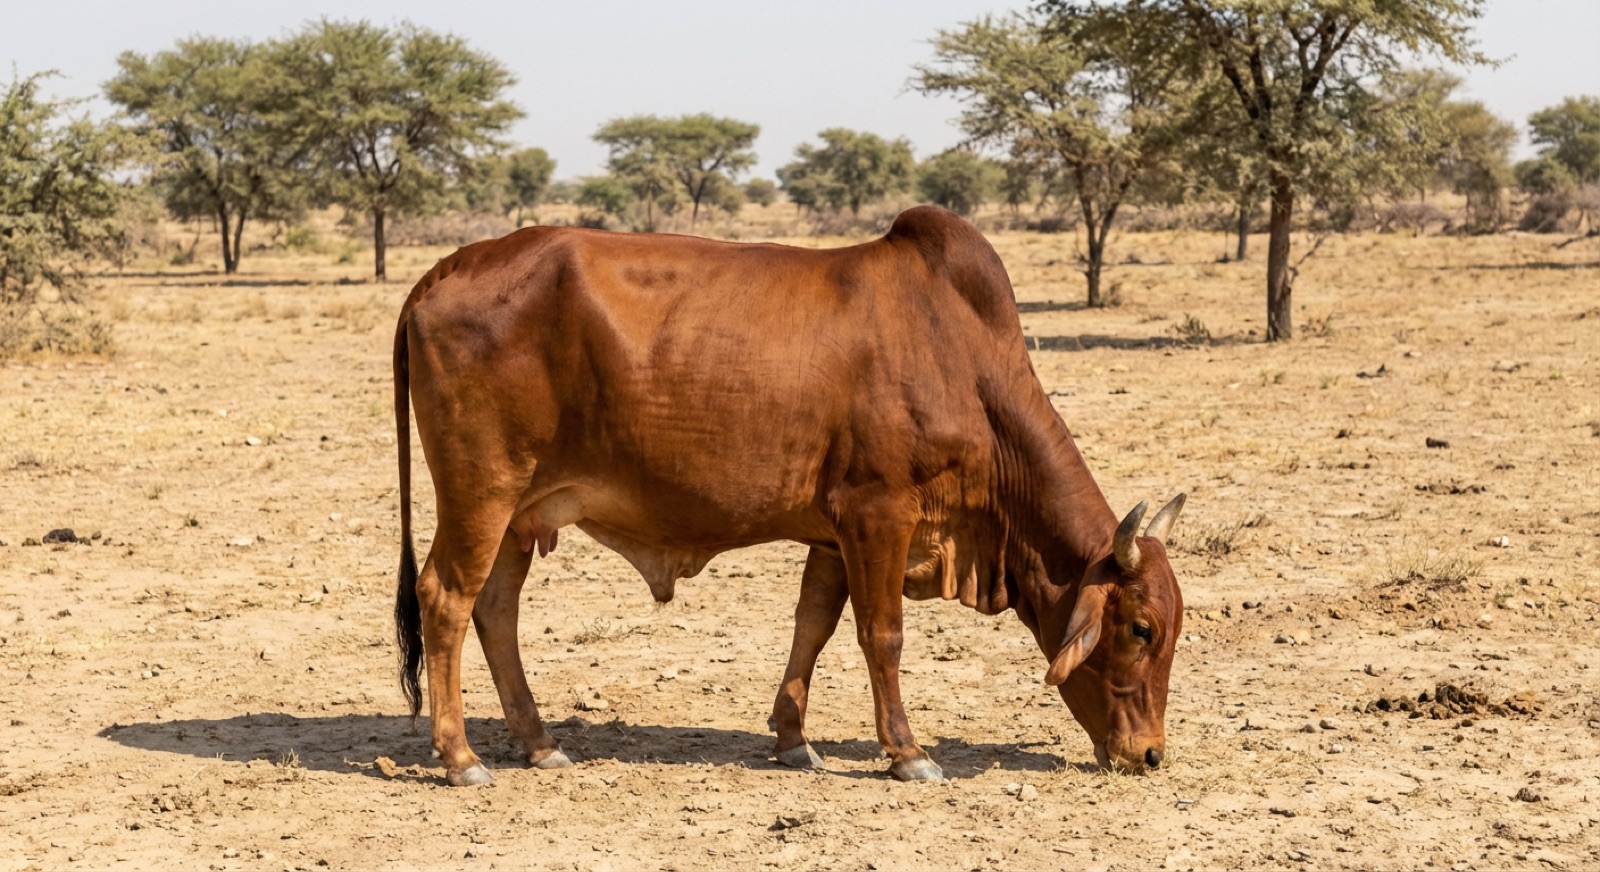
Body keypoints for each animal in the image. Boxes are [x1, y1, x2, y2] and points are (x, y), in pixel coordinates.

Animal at [392, 206, 1185, 786]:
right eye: (1141, 629)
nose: (1150, 753)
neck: (962, 362)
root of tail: (446, 268)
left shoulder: (834, 534)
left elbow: (815, 626)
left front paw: (794, 738)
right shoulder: (878, 515)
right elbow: (882, 635)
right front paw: (907, 752)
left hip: (520, 514)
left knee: (496, 609)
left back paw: (538, 743)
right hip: (481, 493)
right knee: (446, 599)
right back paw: (460, 758)